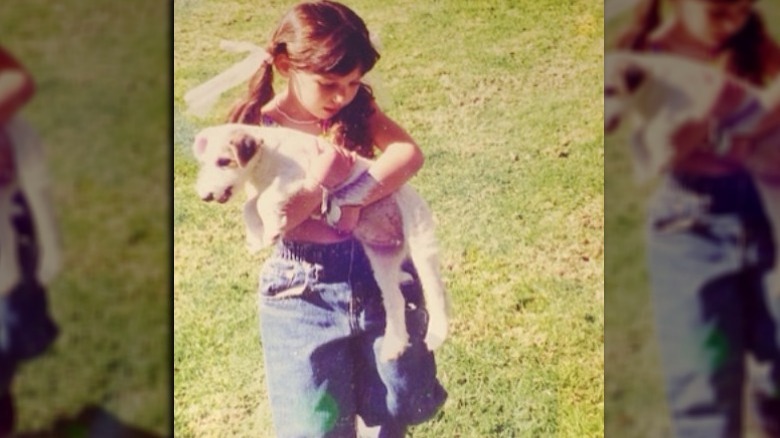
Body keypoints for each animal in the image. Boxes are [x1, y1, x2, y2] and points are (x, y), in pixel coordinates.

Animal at [192, 124, 450, 362]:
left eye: (224, 161)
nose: (205, 196)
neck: (267, 158)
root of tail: (395, 236)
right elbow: (250, 205)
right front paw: (257, 237)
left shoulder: (297, 178)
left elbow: (265, 199)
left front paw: (272, 228)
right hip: (381, 258)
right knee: (395, 300)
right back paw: (394, 346)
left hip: (420, 237)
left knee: (435, 291)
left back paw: (436, 334)